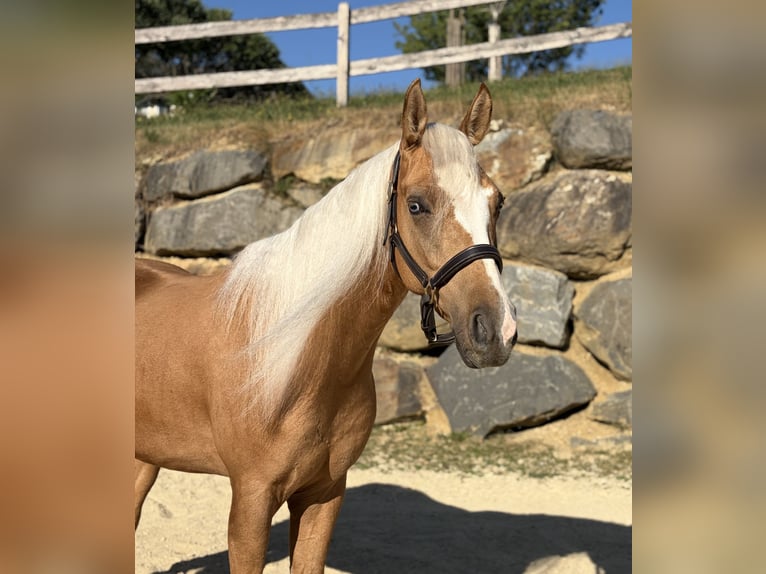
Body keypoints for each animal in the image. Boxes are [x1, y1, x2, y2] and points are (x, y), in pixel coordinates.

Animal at [135, 79, 517, 573]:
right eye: (416, 205)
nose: (495, 330)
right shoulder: (251, 502)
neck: (292, 357)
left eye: (498, 201)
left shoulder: (324, 494)